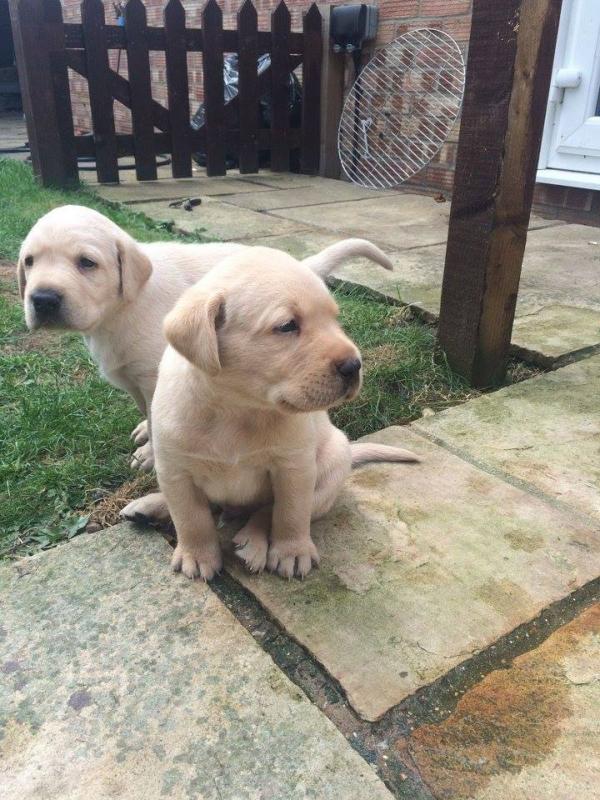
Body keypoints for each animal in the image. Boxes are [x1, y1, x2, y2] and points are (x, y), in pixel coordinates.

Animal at [17, 205, 394, 476]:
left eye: (87, 262)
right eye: (29, 261)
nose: (43, 299)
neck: (124, 307)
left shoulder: (155, 376)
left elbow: (156, 416)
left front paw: (150, 455)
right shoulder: (136, 378)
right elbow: (148, 412)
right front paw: (147, 435)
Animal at [134, 247, 420, 580]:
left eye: (335, 319)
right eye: (287, 326)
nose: (354, 366)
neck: (237, 409)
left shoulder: (293, 467)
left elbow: (289, 514)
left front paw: (291, 552)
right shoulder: (175, 470)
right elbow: (191, 518)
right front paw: (197, 554)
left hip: (330, 469)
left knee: (265, 512)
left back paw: (252, 542)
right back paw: (149, 506)